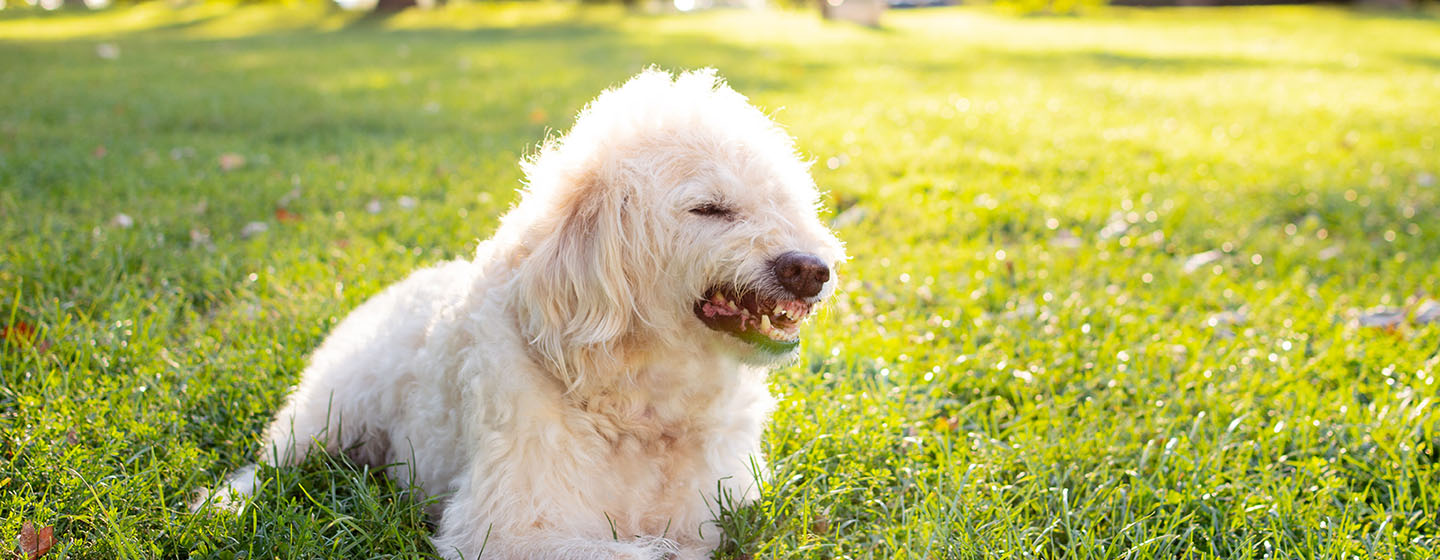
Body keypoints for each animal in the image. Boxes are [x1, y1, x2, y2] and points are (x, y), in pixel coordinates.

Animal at [208, 69, 846, 558]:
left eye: (782, 200)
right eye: (709, 208)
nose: (812, 270)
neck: (638, 408)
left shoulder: (714, 509)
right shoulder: (509, 528)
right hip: (330, 412)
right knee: (270, 465)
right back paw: (223, 504)